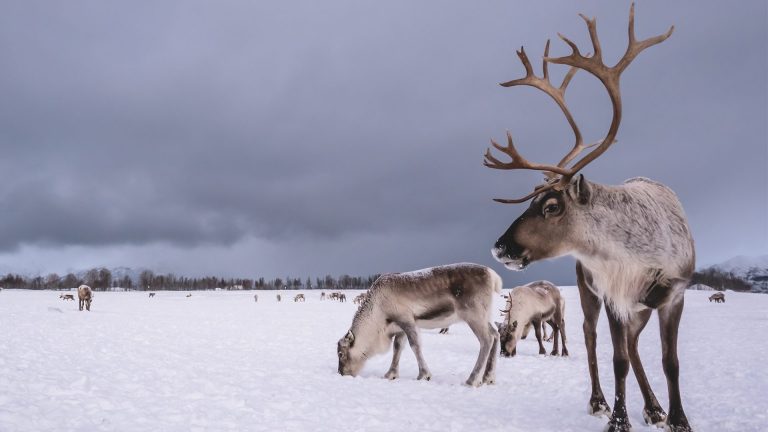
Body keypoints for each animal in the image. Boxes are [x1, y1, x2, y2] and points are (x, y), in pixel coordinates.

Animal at [484, 4, 693, 431]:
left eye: (551, 206)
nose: (499, 247)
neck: (638, 254)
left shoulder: (674, 294)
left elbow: (671, 362)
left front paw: (678, 418)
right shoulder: (612, 295)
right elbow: (617, 360)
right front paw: (617, 419)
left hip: (638, 306)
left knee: (633, 345)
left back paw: (654, 407)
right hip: (589, 291)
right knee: (596, 339)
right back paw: (602, 401)